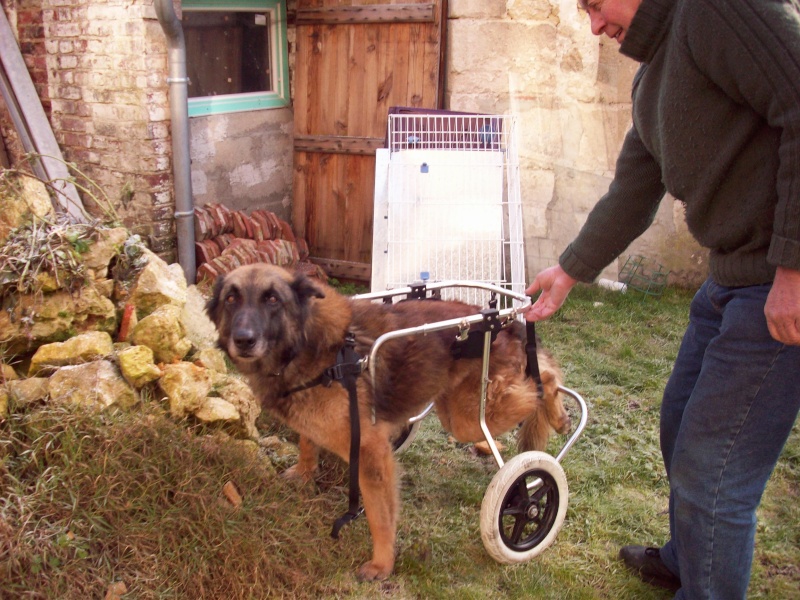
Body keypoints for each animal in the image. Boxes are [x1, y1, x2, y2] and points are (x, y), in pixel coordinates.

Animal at [206, 264, 568, 580]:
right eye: (231, 298)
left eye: (272, 299)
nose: (244, 339)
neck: (313, 347)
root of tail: (507, 321)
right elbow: (308, 441)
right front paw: (304, 471)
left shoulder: (370, 453)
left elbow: (379, 516)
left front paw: (382, 564)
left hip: (467, 418)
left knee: (544, 380)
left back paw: (557, 413)